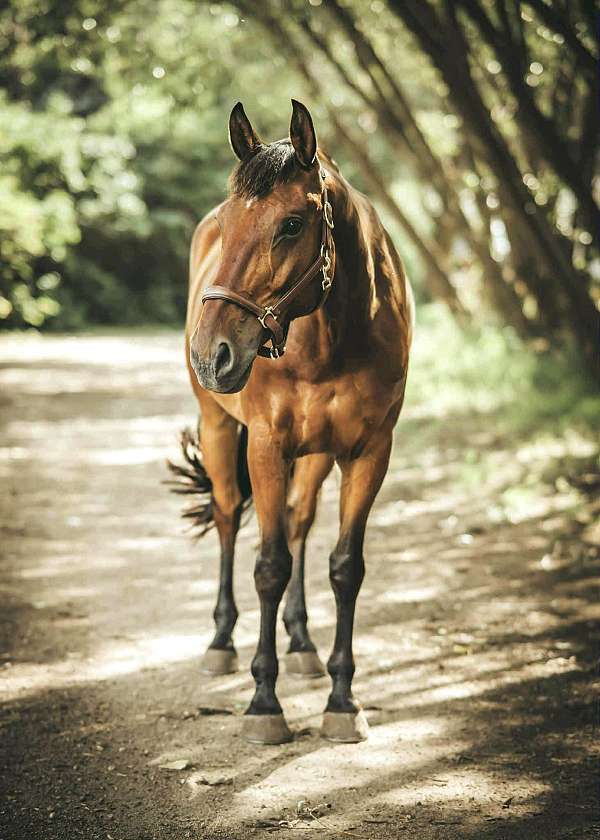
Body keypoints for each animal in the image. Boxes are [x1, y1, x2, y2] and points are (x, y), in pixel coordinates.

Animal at [168, 99, 414, 745]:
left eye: (291, 226)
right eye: (229, 222)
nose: (213, 354)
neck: (330, 339)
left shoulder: (369, 452)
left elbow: (344, 568)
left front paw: (342, 699)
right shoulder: (266, 447)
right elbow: (269, 565)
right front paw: (263, 701)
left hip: (318, 455)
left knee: (301, 523)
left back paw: (301, 642)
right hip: (219, 428)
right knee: (229, 516)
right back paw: (221, 641)